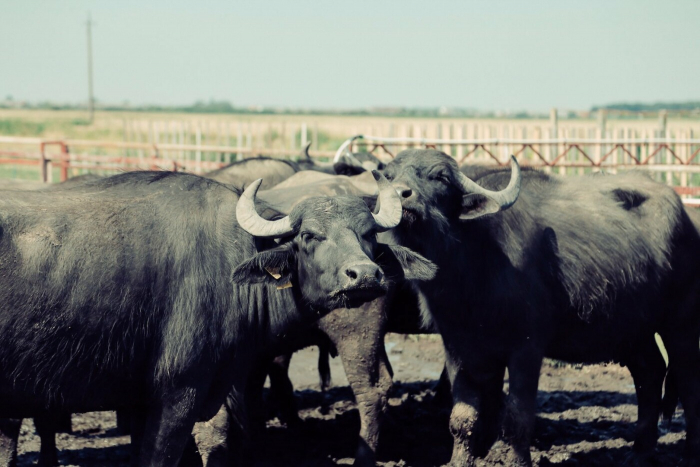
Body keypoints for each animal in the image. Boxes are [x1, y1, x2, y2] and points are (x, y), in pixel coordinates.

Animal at [382, 151, 700, 467]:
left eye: (440, 176)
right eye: (388, 175)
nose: (400, 194)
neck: (474, 260)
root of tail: (688, 222)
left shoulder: (526, 348)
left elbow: (516, 417)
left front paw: (517, 461)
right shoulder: (459, 347)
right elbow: (463, 417)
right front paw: (463, 459)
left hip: (681, 324)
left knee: (687, 381)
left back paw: (689, 454)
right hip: (632, 330)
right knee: (650, 372)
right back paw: (639, 452)